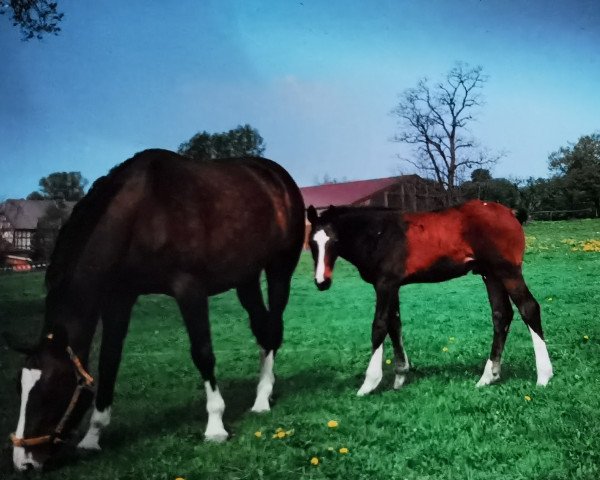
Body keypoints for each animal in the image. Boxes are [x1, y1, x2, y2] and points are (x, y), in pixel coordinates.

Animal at [11, 148, 304, 470]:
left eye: (50, 390)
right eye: (20, 389)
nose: (23, 463)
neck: (143, 213)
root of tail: (276, 176)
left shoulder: (190, 290)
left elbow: (203, 354)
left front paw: (215, 426)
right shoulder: (119, 297)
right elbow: (109, 361)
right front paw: (92, 437)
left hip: (279, 270)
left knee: (273, 328)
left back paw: (262, 399)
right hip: (246, 279)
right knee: (262, 330)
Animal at [310, 201, 552, 396]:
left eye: (334, 240)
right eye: (311, 243)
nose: (322, 281)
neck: (380, 234)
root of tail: (510, 212)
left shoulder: (384, 284)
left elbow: (379, 326)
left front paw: (368, 384)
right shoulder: (393, 286)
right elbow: (394, 324)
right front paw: (400, 376)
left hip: (507, 271)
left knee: (529, 308)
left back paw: (543, 376)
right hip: (489, 274)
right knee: (501, 315)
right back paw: (487, 377)